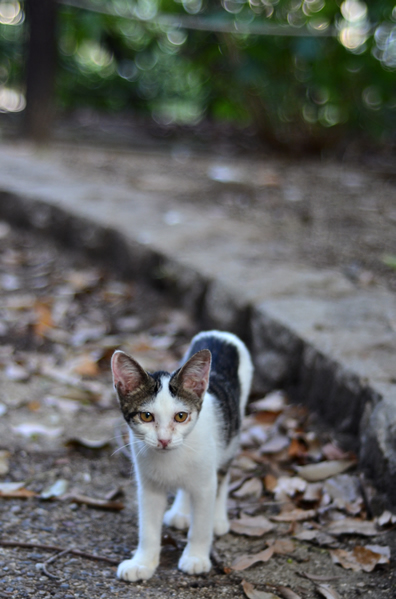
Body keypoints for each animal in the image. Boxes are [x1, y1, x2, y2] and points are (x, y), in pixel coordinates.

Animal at [110, 330, 254, 584]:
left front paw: (196, 557)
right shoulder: (148, 486)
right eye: (146, 416)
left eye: (180, 416)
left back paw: (218, 519)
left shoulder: (206, 484)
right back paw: (181, 511)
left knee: (223, 473)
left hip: (233, 429)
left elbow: (201, 524)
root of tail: (219, 333)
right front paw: (142, 562)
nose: (164, 440)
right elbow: (148, 528)